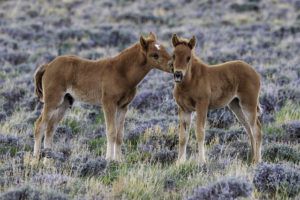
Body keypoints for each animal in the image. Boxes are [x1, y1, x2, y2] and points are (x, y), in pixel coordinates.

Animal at [33, 32, 171, 161]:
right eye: (155, 54)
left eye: (164, 49)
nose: (172, 66)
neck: (122, 73)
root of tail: (48, 66)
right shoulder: (108, 103)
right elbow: (111, 132)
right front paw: (109, 160)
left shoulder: (123, 106)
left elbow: (119, 135)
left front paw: (118, 160)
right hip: (52, 101)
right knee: (40, 125)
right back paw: (35, 159)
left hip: (64, 103)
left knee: (50, 128)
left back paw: (48, 160)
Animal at [171, 34, 262, 165]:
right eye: (173, 55)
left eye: (188, 57)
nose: (178, 75)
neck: (190, 82)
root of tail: (256, 73)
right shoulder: (184, 109)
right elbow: (183, 136)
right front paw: (179, 163)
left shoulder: (202, 106)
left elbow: (200, 132)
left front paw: (202, 161)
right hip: (236, 106)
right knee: (249, 129)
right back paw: (252, 160)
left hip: (248, 104)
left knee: (256, 129)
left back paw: (258, 161)